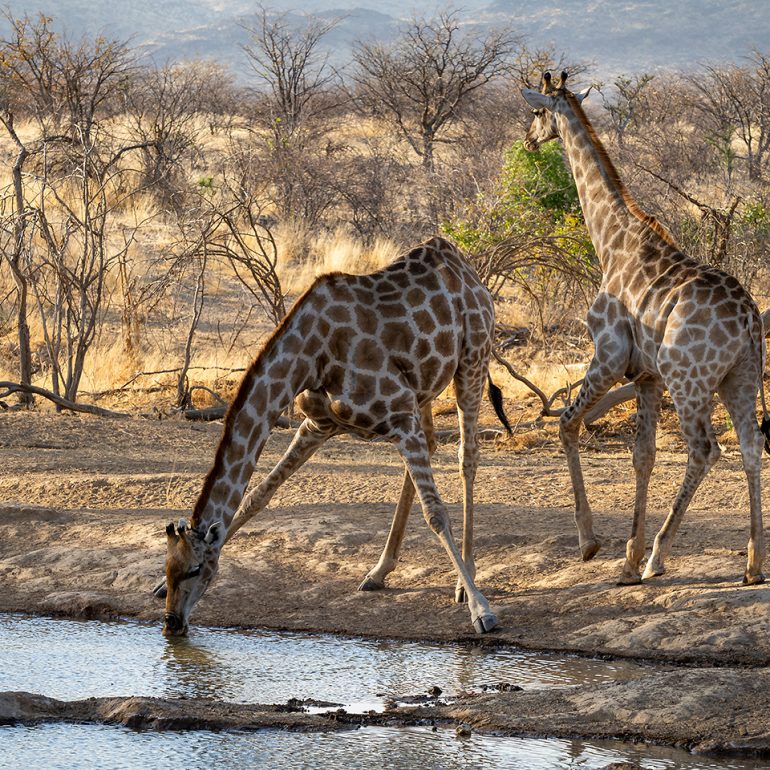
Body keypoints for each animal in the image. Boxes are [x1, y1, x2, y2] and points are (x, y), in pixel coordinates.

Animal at [158, 236, 507, 637]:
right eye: (169, 567)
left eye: (197, 569)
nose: (171, 623)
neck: (311, 358)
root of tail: (465, 269)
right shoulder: (319, 425)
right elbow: (258, 496)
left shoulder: (399, 417)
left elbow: (435, 513)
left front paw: (482, 610)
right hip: (422, 391)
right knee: (434, 444)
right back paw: (379, 571)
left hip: (472, 360)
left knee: (468, 457)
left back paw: (466, 581)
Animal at [521, 71, 770, 585]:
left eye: (536, 111)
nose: (528, 140)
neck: (610, 242)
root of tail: (749, 320)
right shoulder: (648, 375)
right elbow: (644, 455)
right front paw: (629, 557)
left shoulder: (610, 356)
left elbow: (568, 425)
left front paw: (595, 544)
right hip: (740, 377)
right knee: (752, 445)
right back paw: (753, 563)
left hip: (689, 379)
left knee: (706, 449)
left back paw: (660, 555)